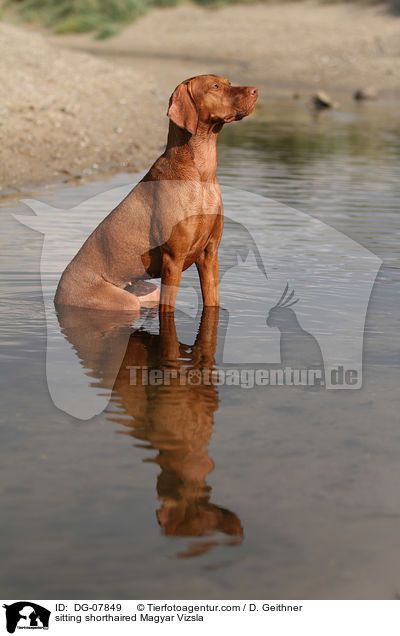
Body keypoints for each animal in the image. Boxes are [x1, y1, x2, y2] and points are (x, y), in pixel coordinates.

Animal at [54, 74, 258, 314]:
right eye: (215, 86)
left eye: (228, 82)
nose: (255, 90)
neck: (202, 174)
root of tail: (57, 292)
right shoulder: (173, 260)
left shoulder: (210, 254)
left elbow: (212, 302)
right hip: (124, 301)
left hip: (148, 291)